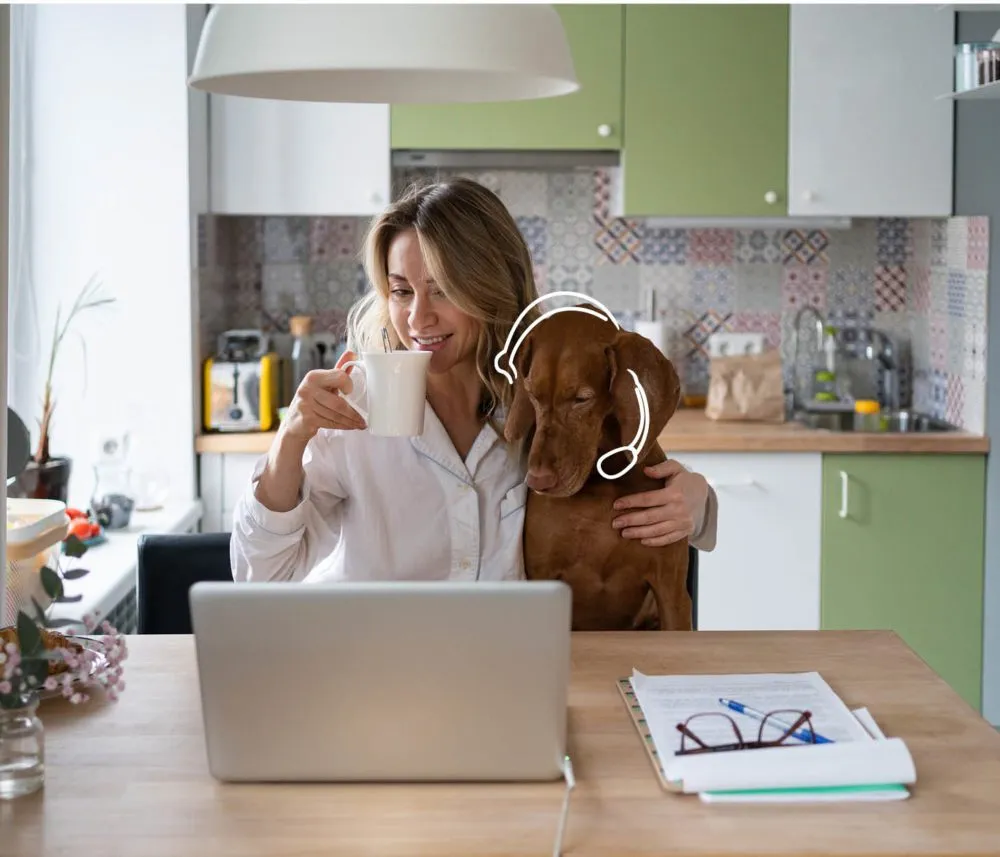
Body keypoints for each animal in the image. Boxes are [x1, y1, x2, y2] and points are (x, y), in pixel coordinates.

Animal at [504, 308, 692, 628]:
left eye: (581, 399)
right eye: (532, 394)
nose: (537, 481)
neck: (603, 482)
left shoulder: (672, 594)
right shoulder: (542, 576)